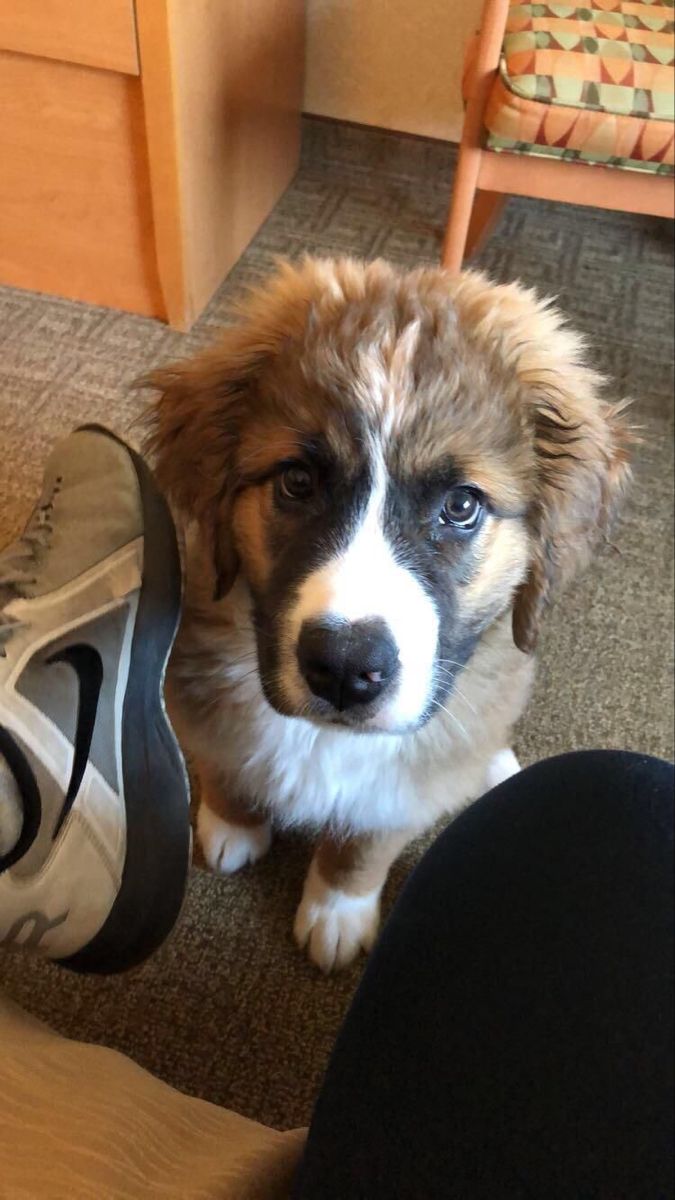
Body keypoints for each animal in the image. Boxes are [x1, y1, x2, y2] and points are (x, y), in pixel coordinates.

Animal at [142, 258, 629, 969]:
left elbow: (365, 843)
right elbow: (225, 756)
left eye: (461, 506)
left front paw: (338, 910)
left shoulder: (405, 783)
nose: (345, 669)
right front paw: (231, 821)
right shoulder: (198, 684)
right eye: (297, 481)